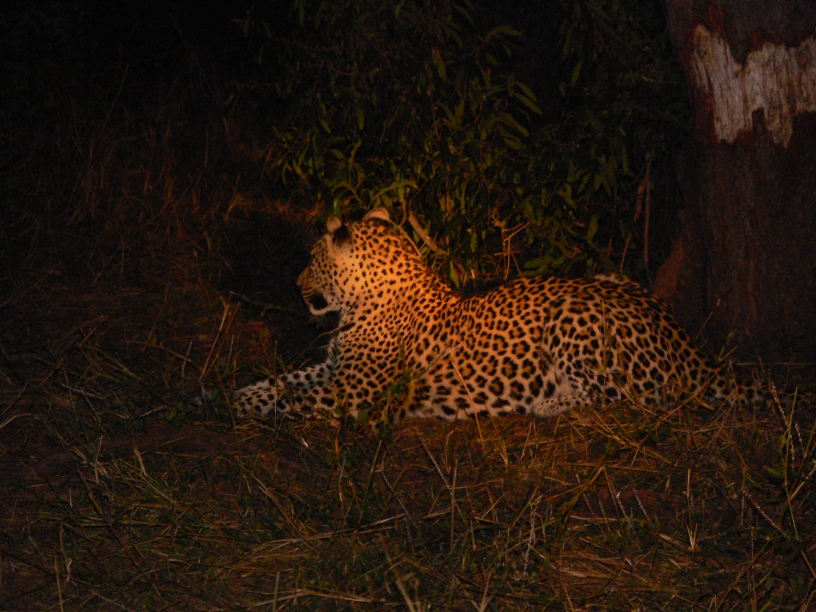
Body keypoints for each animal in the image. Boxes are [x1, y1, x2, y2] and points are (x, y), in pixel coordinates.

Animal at [234, 208, 759, 424]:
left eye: (312, 258)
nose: (296, 285)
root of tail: (691, 349)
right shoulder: (334, 368)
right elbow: (284, 379)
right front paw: (240, 391)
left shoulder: (354, 390)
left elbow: (297, 397)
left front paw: (238, 406)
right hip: (609, 276)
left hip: (573, 315)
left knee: (627, 398)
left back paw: (547, 403)